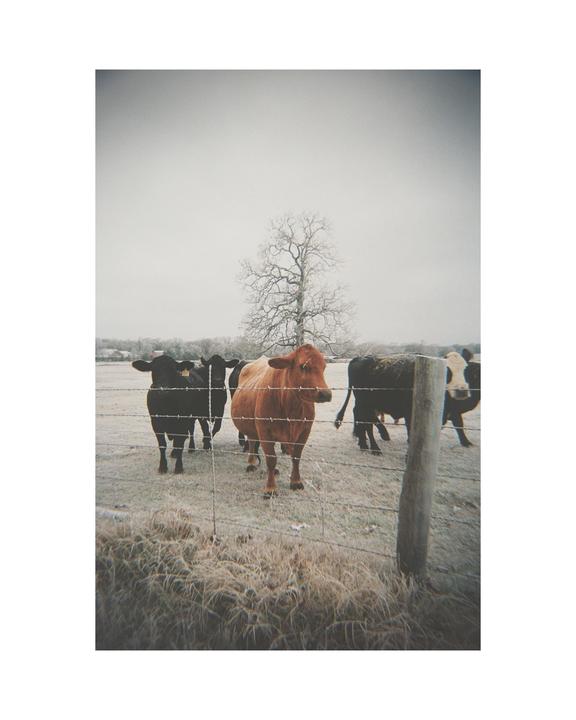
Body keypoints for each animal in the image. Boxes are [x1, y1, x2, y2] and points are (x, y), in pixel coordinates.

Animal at [231, 344, 332, 497]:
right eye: (303, 366)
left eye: (324, 366)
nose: (325, 394)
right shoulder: (264, 431)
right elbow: (271, 459)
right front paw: (270, 488)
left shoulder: (305, 431)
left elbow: (296, 457)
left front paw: (296, 482)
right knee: (253, 442)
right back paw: (251, 463)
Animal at [334, 351, 472, 454]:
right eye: (448, 372)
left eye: (466, 369)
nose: (462, 391)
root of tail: (358, 358)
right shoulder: (410, 415)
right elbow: (411, 435)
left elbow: (458, 422)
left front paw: (467, 442)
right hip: (366, 404)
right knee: (367, 423)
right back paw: (375, 447)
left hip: (366, 404)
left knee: (363, 419)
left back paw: (364, 443)